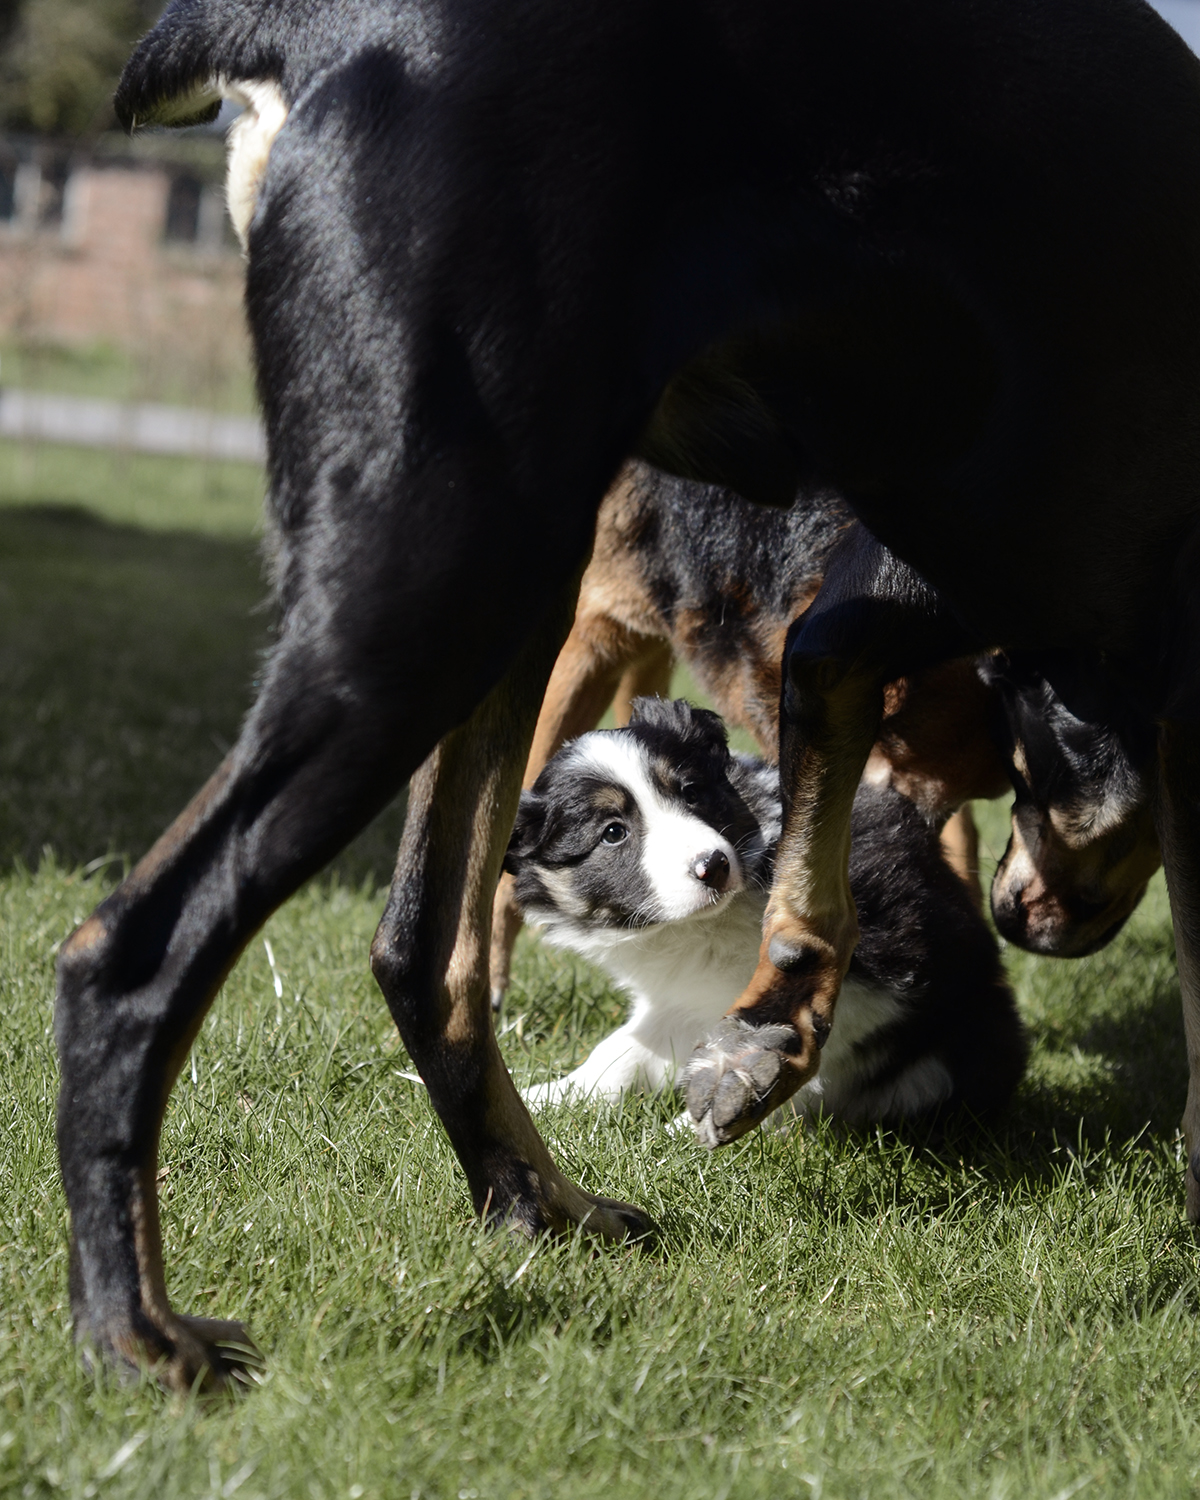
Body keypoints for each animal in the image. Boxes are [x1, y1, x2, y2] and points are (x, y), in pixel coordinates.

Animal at [507, 696, 1032, 1128]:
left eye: (691, 792)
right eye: (613, 832)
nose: (714, 866)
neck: (708, 926)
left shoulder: (878, 970)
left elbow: (799, 1050)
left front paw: (692, 1132)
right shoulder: (680, 996)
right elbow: (622, 1049)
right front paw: (547, 1096)